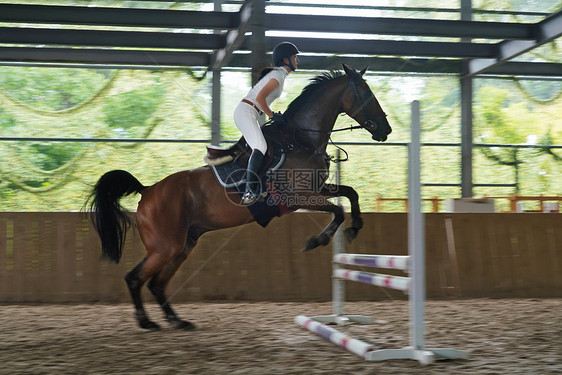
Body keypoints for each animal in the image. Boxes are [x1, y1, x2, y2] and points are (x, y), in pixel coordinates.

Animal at [86, 65, 390, 332]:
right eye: (366, 94)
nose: (385, 130)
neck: (301, 139)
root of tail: (147, 190)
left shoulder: (318, 188)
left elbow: (351, 194)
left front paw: (355, 228)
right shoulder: (299, 198)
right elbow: (338, 212)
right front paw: (317, 241)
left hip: (183, 245)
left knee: (157, 283)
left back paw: (177, 321)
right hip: (165, 246)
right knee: (135, 278)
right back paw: (147, 322)